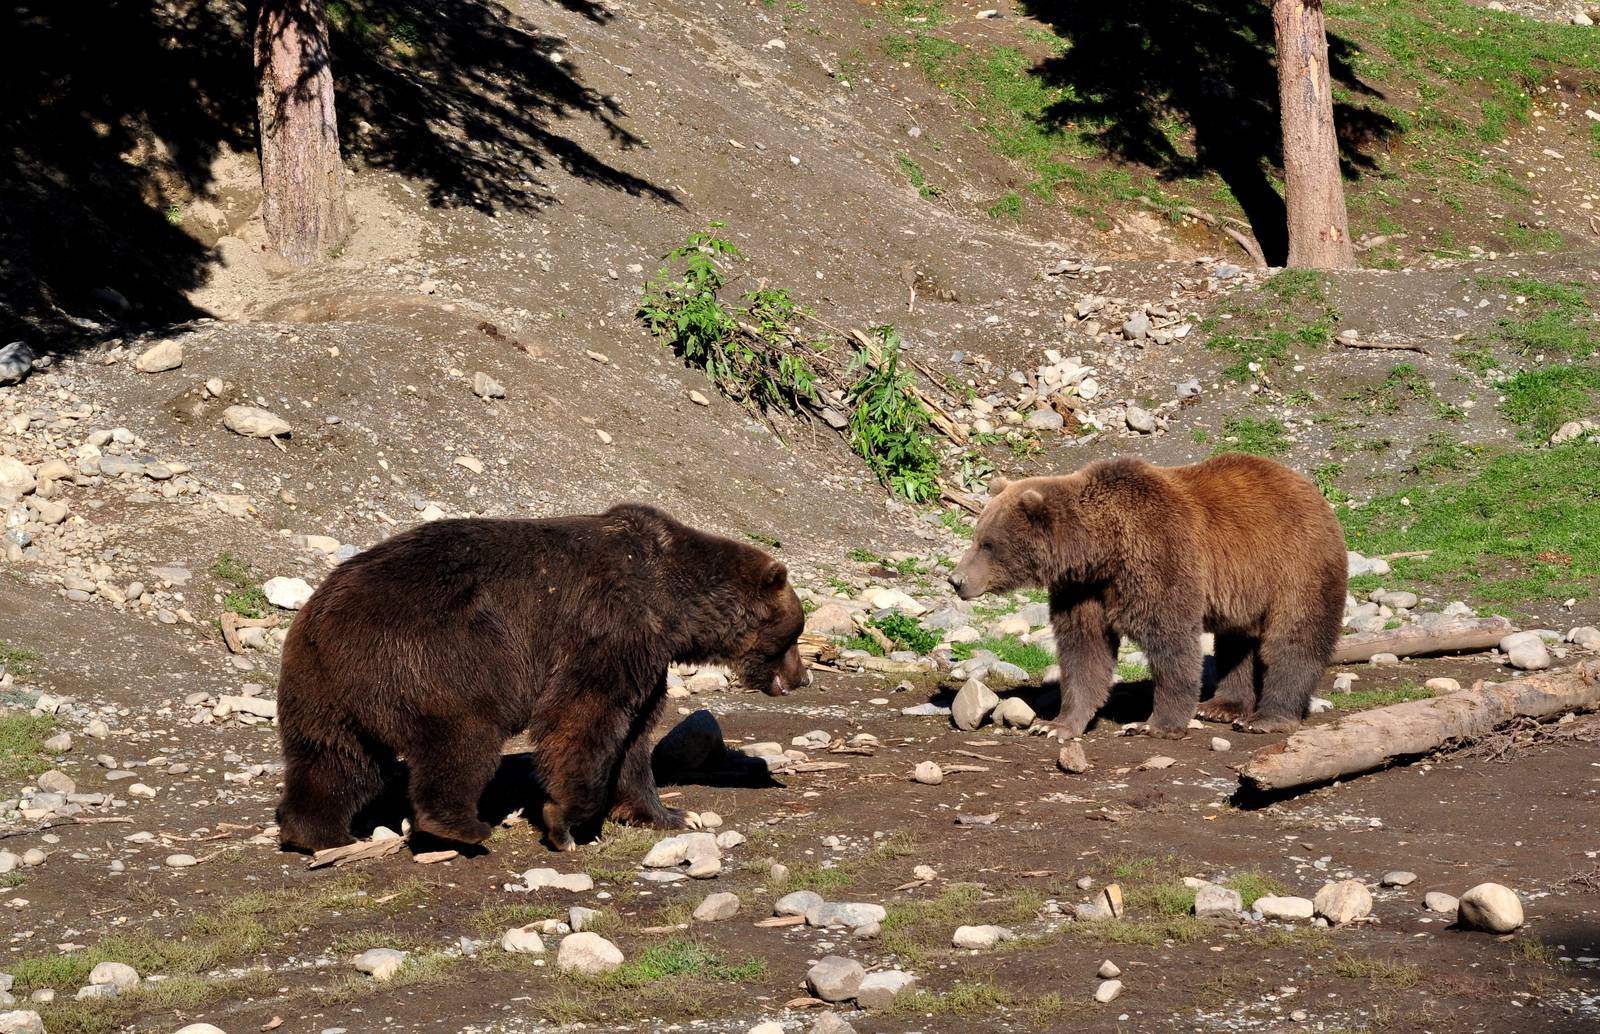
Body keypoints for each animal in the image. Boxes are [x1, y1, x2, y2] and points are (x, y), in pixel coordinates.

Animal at [274, 503, 810, 854]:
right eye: (795, 633)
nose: (803, 677)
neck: (674, 607)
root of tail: (324, 613)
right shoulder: (609, 629)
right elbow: (582, 718)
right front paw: (564, 822)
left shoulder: (646, 657)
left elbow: (635, 739)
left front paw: (668, 814)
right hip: (435, 659)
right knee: (461, 741)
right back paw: (462, 826)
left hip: (322, 685)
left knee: (335, 759)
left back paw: (320, 834)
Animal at [947, 453, 1346, 738]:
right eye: (976, 536)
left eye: (988, 543)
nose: (955, 579)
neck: (1101, 551)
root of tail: (1310, 488)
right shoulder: (1082, 590)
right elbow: (1084, 651)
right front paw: (1056, 724)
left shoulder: (1159, 558)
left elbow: (1171, 642)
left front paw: (1155, 724)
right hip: (1246, 588)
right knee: (1235, 642)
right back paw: (1222, 706)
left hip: (1296, 563)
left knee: (1294, 638)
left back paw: (1266, 718)